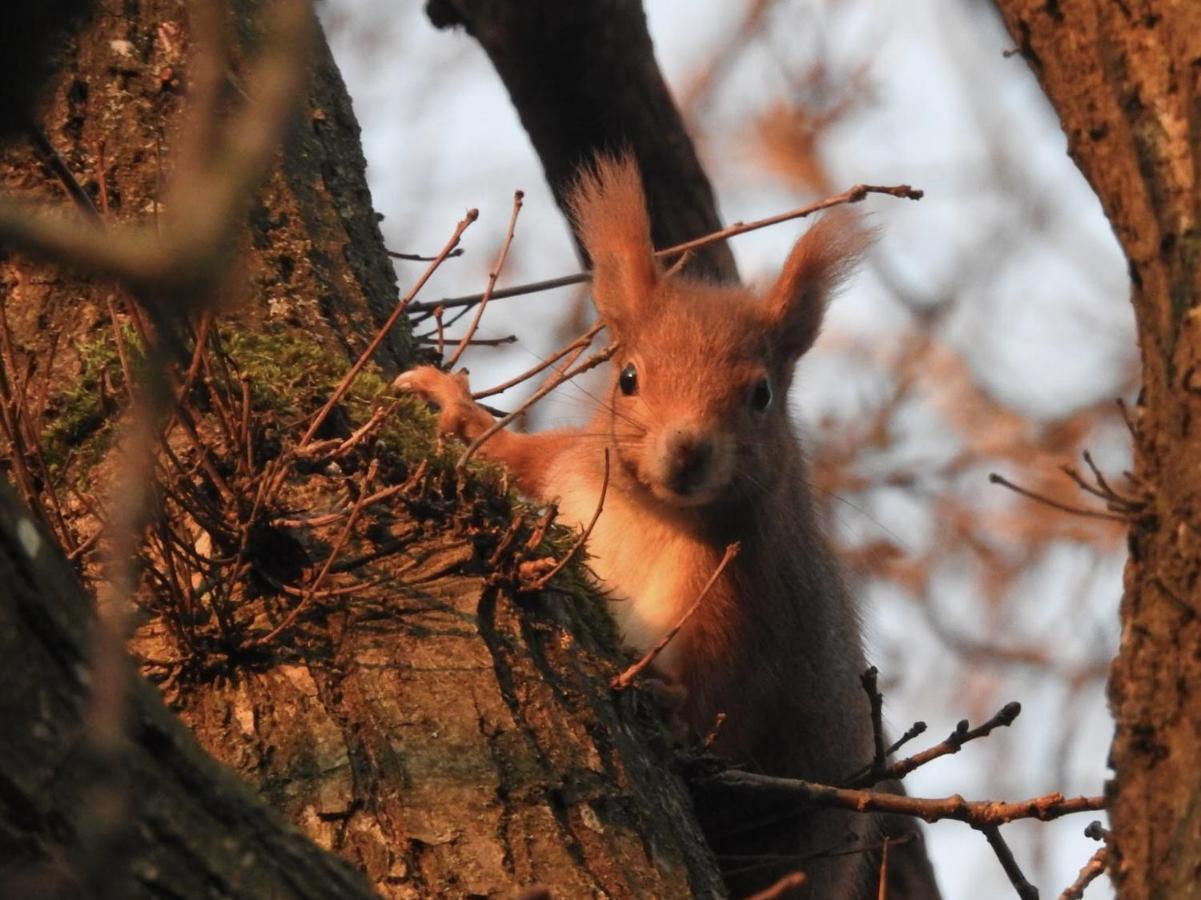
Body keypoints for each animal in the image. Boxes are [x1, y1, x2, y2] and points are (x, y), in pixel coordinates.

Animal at [398, 157, 879, 893]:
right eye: (627, 377)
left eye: (762, 394)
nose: (687, 451)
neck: (651, 514)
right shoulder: (569, 471)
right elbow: (520, 460)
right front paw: (456, 408)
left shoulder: (746, 599)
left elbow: (730, 710)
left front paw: (670, 705)